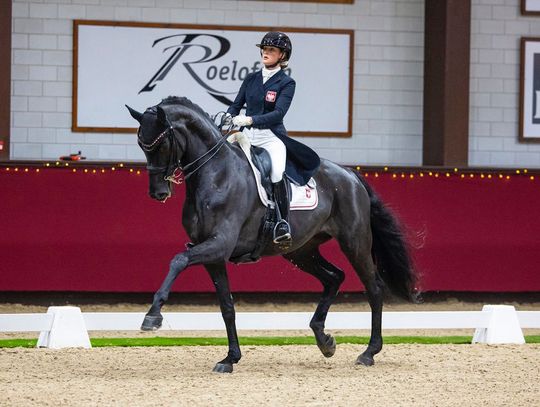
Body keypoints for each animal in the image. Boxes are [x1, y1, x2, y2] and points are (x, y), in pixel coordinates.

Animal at [126, 97, 418, 374]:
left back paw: (368, 352)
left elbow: (178, 260)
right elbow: (227, 307)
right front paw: (230, 359)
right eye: (141, 145)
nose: (158, 193)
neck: (215, 175)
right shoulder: (212, 255)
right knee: (334, 277)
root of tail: (350, 174)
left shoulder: (218, 245)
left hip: (354, 242)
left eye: (161, 144)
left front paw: (152, 316)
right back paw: (325, 341)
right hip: (300, 251)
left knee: (374, 288)